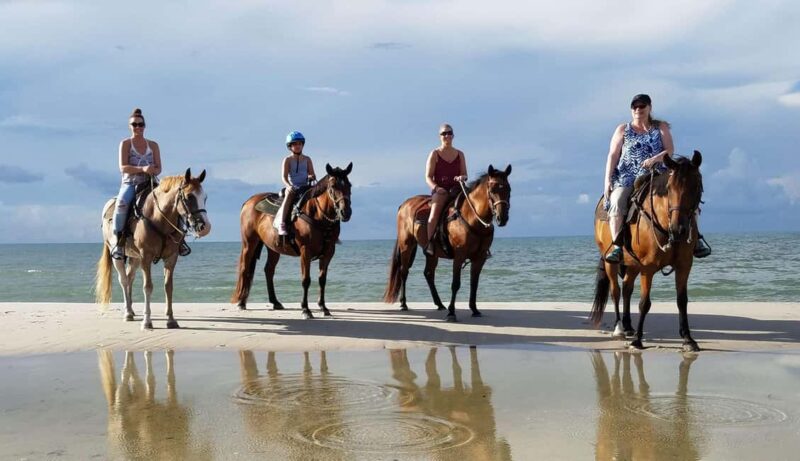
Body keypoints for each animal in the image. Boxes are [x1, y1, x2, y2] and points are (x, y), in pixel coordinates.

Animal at [95, 169, 211, 330]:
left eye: (204, 197)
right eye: (189, 197)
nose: (205, 227)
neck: (158, 218)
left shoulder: (171, 257)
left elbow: (168, 287)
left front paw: (171, 319)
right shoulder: (146, 257)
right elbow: (147, 287)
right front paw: (147, 321)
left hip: (134, 257)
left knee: (130, 278)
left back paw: (131, 310)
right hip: (117, 256)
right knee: (123, 280)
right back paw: (127, 313)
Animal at [231, 163, 353, 319]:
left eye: (349, 185)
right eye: (333, 186)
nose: (346, 212)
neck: (317, 215)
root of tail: (249, 201)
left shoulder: (329, 252)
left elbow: (322, 280)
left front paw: (323, 307)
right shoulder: (305, 251)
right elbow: (306, 280)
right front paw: (306, 309)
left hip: (273, 248)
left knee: (269, 270)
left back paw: (275, 302)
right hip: (249, 243)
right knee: (245, 268)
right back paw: (241, 302)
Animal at [383, 164, 512, 322]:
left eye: (508, 189)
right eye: (492, 190)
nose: (502, 218)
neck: (472, 217)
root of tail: (404, 205)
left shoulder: (480, 258)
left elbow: (474, 283)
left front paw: (474, 309)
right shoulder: (459, 256)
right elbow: (455, 284)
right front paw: (451, 312)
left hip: (431, 253)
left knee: (428, 273)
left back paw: (439, 304)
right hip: (407, 245)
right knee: (404, 271)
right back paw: (404, 303)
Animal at [591, 151, 704, 351]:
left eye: (696, 185)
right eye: (669, 188)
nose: (679, 229)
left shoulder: (684, 266)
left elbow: (682, 301)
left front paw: (688, 339)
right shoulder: (648, 268)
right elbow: (644, 303)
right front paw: (638, 340)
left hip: (633, 265)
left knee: (627, 288)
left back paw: (628, 326)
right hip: (611, 262)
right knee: (616, 291)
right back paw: (620, 328)